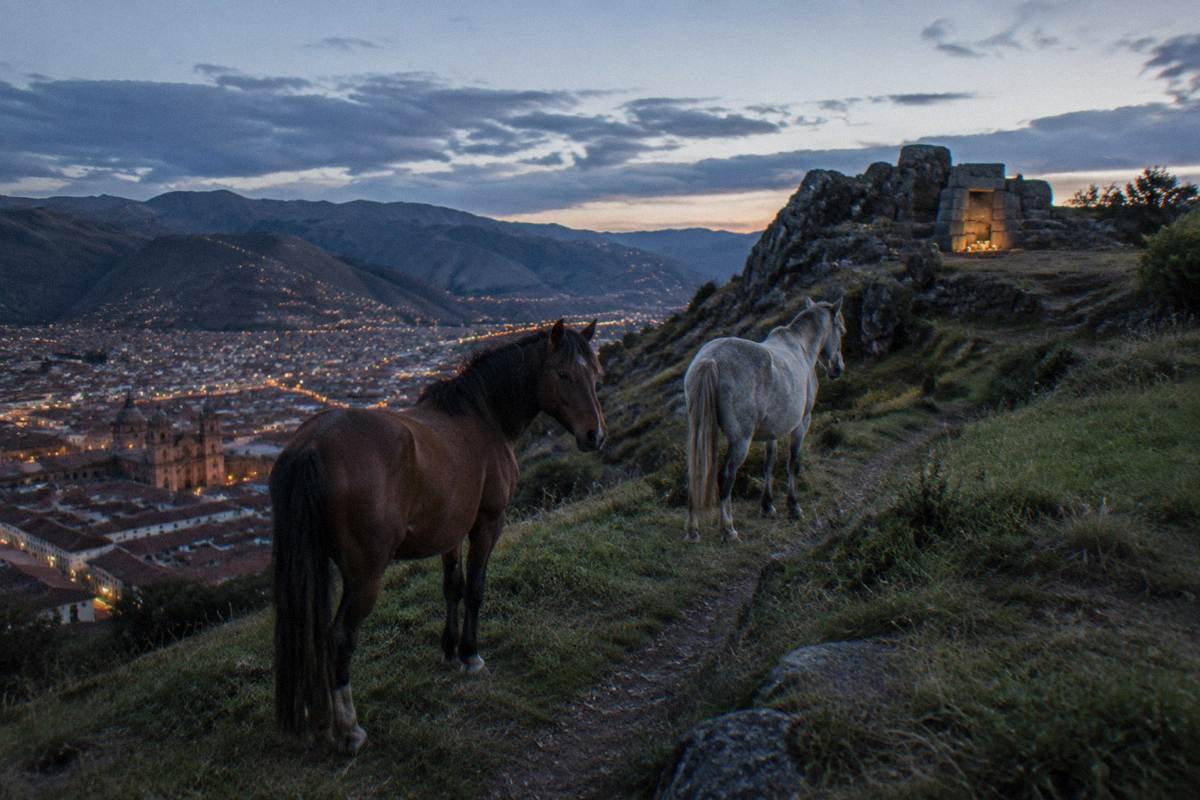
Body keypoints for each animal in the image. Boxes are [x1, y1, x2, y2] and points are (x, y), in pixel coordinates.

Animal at [270, 319, 606, 754]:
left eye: (595, 374)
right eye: (563, 374)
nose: (595, 435)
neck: (483, 417)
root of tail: (310, 445)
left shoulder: (451, 531)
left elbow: (453, 587)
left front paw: (449, 651)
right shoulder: (487, 523)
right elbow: (476, 589)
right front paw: (471, 655)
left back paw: (320, 716)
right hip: (364, 574)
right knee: (339, 637)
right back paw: (349, 729)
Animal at [684, 296, 845, 542]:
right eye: (841, 330)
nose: (838, 368)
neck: (801, 348)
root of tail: (710, 360)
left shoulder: (772, 431)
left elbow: (769, 464)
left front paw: (767, 505)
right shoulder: (802, 423)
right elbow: (793, 463)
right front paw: (794, 507)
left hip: (699, 431)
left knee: (696, 473)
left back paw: (693, 531)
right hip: (740, 440)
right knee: (726, 475)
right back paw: (728, 528)